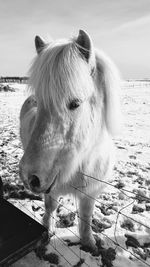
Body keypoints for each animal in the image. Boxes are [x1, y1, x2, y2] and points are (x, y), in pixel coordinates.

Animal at [19, 29, 122, 253]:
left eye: (75, 103)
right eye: (39, 102)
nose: (30, 178)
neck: (78, 165)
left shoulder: (91, 191)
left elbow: (86, 216)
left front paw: (88, 242)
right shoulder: (52, 188)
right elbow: (50, 207)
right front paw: (47, 229)